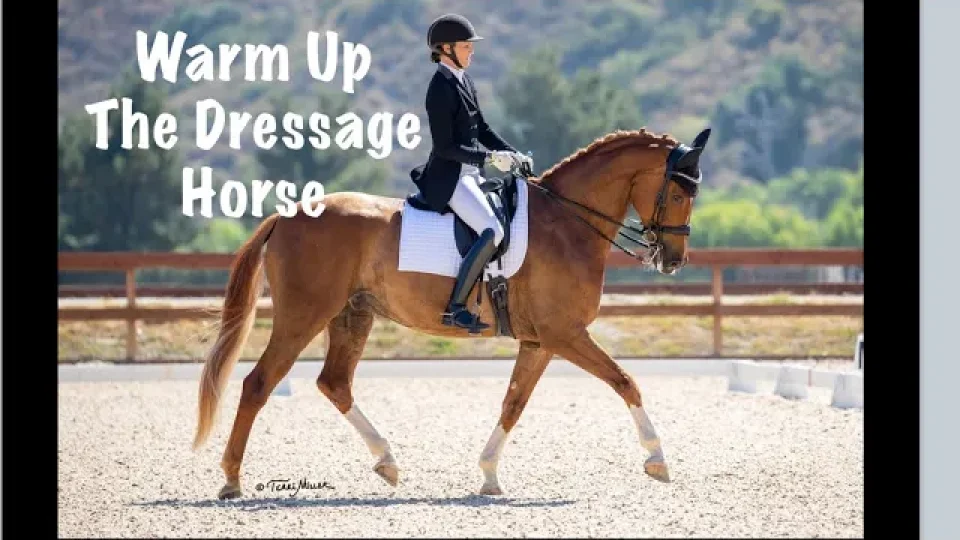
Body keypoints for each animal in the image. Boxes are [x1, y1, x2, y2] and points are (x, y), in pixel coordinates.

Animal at [191, 126, 711, 499]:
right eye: (680, 194)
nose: (674, 260)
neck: (568, 223)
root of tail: (288, 215)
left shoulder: (541, 341)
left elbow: (513, 403)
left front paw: (489, 476)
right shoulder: (565, 334)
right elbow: (626, 381)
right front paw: (658, 460)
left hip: (352, 315)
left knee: (334, 383)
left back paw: (387, 462)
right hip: (304, 315)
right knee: (259, 384)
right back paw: (232, 480)